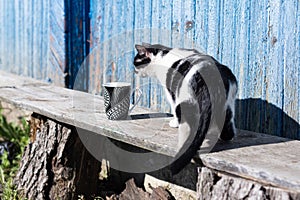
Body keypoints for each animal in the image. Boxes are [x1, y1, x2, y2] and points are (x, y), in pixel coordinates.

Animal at [134, 43, 237, 174]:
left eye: (136, 63)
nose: (134, 72)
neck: (162, 56)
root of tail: (209, 76)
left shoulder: (171, 93)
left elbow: (172, 107)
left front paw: (174, 123)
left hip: (185, 103)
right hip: (227, 106)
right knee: (227, 128)